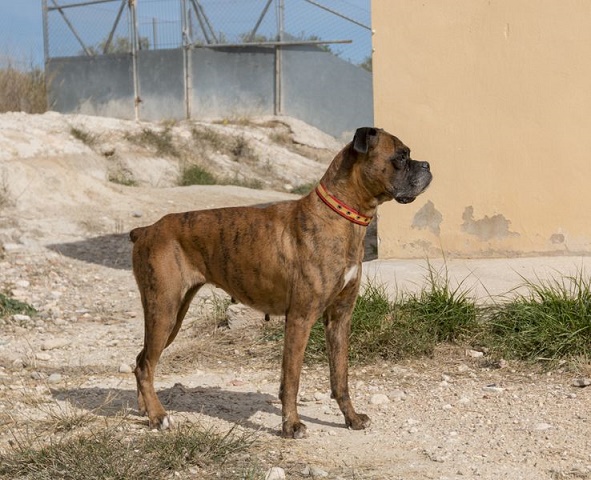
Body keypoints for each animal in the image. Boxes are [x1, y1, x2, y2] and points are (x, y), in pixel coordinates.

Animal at [129, 127, 432, 438]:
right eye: (401, 156)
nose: (427, 166)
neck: (338, 216)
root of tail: (146, 230)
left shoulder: (339, 319)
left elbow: (340, 377)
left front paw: (351, 418)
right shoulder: (299, 319)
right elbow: (292, 379)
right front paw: (291, 425)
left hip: (172, 317)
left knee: (141, 361)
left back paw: (145, 409)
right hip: (163, 312)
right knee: (145, 365)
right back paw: (158, 416)